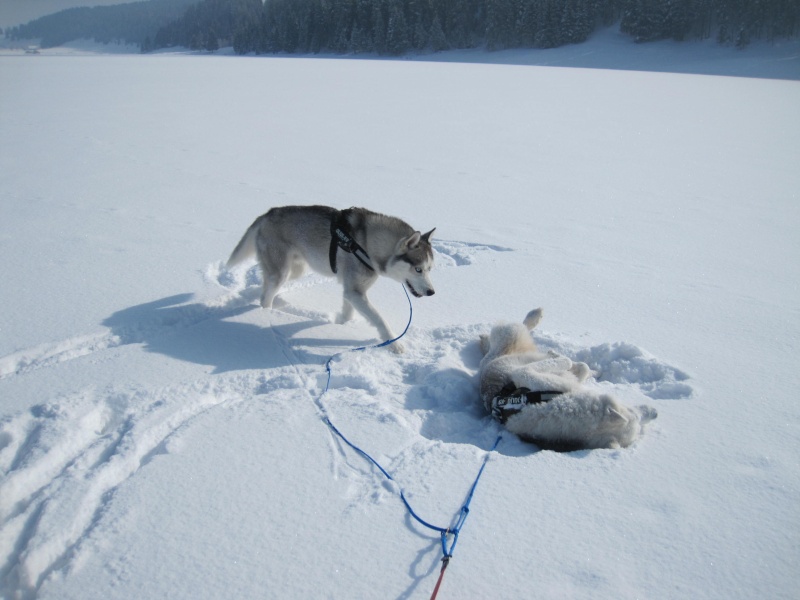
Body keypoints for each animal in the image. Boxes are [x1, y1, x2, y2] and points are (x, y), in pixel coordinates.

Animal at [225, 205, 438, 350]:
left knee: (266, 283)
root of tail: (269, 213)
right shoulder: (354, 292)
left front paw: (341, 325)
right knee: (266, 295)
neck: (367, 245)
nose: (431, 292)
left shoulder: (351, 291)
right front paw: (394, 344)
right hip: (282, 272)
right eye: (418, 269)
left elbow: (348, 313)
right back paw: (266, 314)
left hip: (296, 269)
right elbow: (379, 318)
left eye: (430, 269)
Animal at [478, 310, 660, 450]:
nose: (656, 413)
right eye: (634, 412)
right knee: (520, 325)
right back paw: (535, 315)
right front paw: (555, 354)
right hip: (512, 333)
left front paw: (589, 371)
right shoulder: (523, 373)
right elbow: (568, 361)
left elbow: (581, 368)